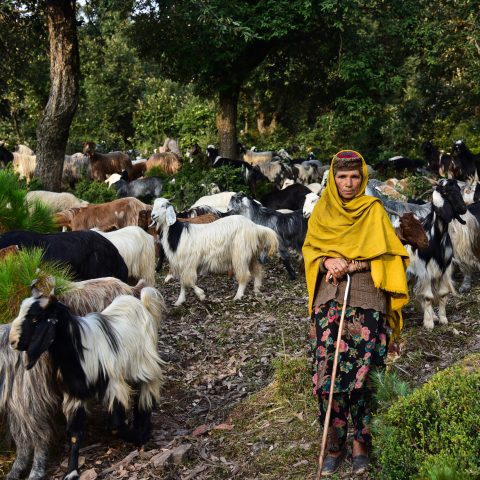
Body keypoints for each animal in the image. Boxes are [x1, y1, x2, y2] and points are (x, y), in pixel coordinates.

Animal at [9, 284, 165, 480]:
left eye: (36, 319)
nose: (12, 342)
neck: (78, 350)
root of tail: (142, 302)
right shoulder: (75, 394)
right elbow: (74, 433)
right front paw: (71, 471)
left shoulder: (114, 386)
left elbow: (115, 425)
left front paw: (136, 436)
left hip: (145, 365)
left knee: (146, 395)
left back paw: (143, 429)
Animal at [150, 198, 278, 304]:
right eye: (153, 205)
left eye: (163, 205)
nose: (152, 215)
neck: (178, 233)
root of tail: (255, 227)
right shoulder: (181, 263)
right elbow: (183, 282)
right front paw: (179, 301)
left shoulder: (189, 262)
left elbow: (189, 281)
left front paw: (201, 295)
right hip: (250, 253)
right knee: (257, 269)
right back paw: (256, 289)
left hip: (240, 253)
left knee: (245, 274)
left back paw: (238, 295)